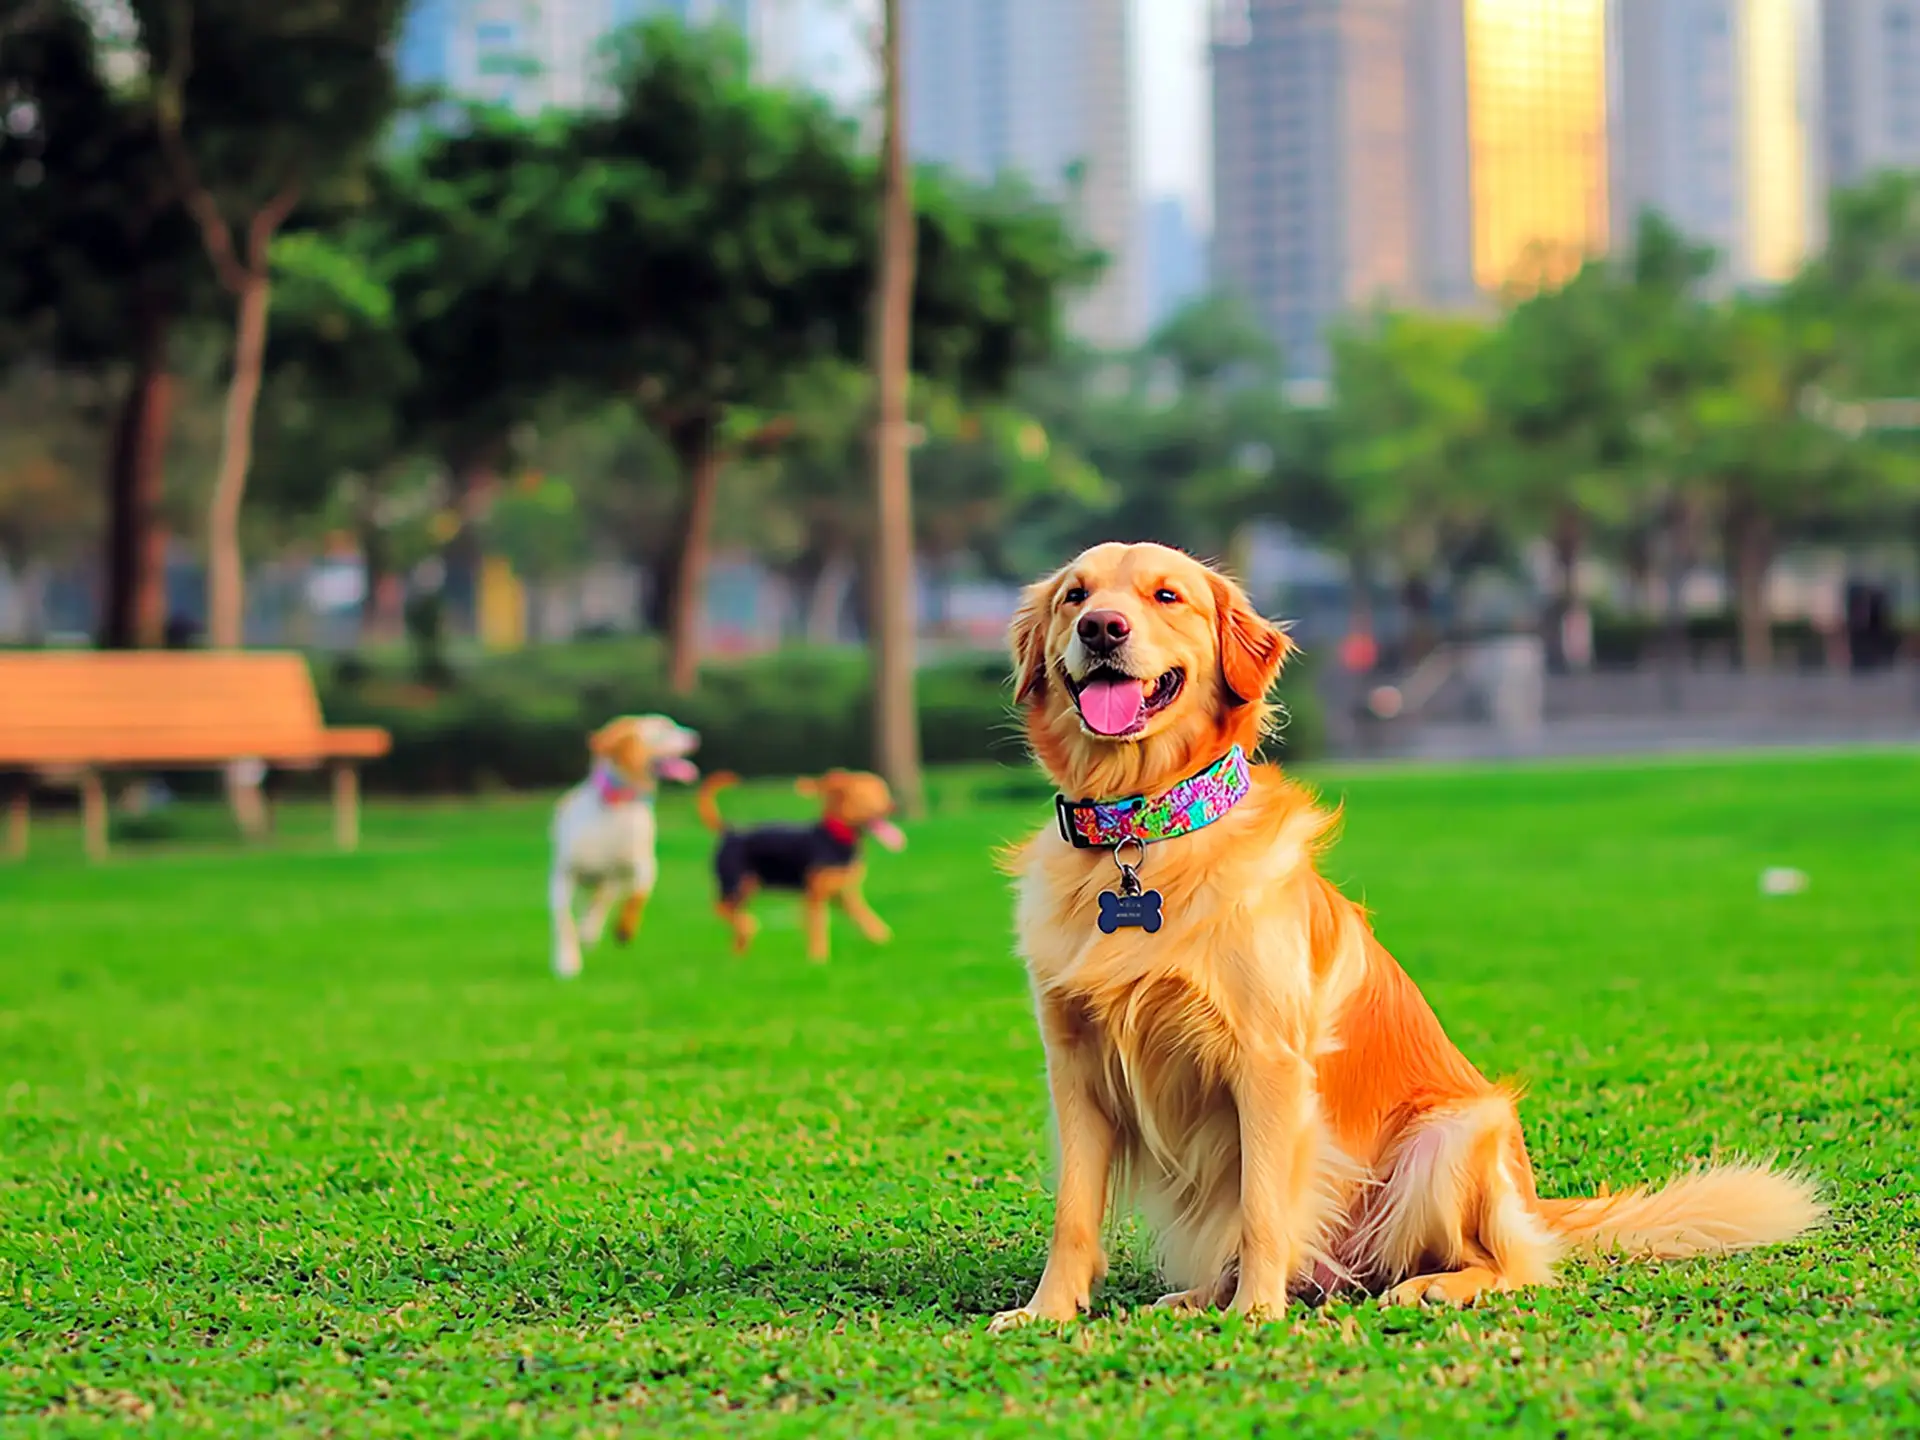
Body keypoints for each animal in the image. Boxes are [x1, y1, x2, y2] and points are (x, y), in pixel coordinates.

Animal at [552, 718, 702, 983]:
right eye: (663, 728)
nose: (696, 736)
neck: (617, 804)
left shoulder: (644, 865)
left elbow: (637, 897)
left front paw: (624, 929)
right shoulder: (564, 875)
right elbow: (564, 920)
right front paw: (567, 963)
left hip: (612, 880)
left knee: (603, 901)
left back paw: (591, 930)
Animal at [698, 771, 906, 963]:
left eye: (883, 791)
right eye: (864, 795)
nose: (894, 806)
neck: (837, 836)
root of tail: (729, 830)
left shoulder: (845, 893)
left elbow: (865, 916)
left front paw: (882, 937)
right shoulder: (816, 895)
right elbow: (818, 927)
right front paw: (818, 959)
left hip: (747, 888)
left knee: (734, 917)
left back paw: (738, 952)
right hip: (733, 883)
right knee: (720, 909)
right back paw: (747, 927)